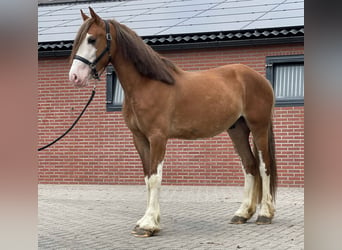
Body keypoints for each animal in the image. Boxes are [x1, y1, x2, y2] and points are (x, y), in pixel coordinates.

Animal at [68, 7, 276, 237]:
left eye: (92, 39)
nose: (75, 76)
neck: (146, 85)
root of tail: (260, 79)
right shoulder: (139, 139)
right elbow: (147, 178)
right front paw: (147, 221)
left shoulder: (158, 138)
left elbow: (155, 178)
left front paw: (149, 224)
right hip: (237, 130)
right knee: (250, 166)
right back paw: (242, 213)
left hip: (259, 128)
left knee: (264, 166)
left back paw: (265, 214)